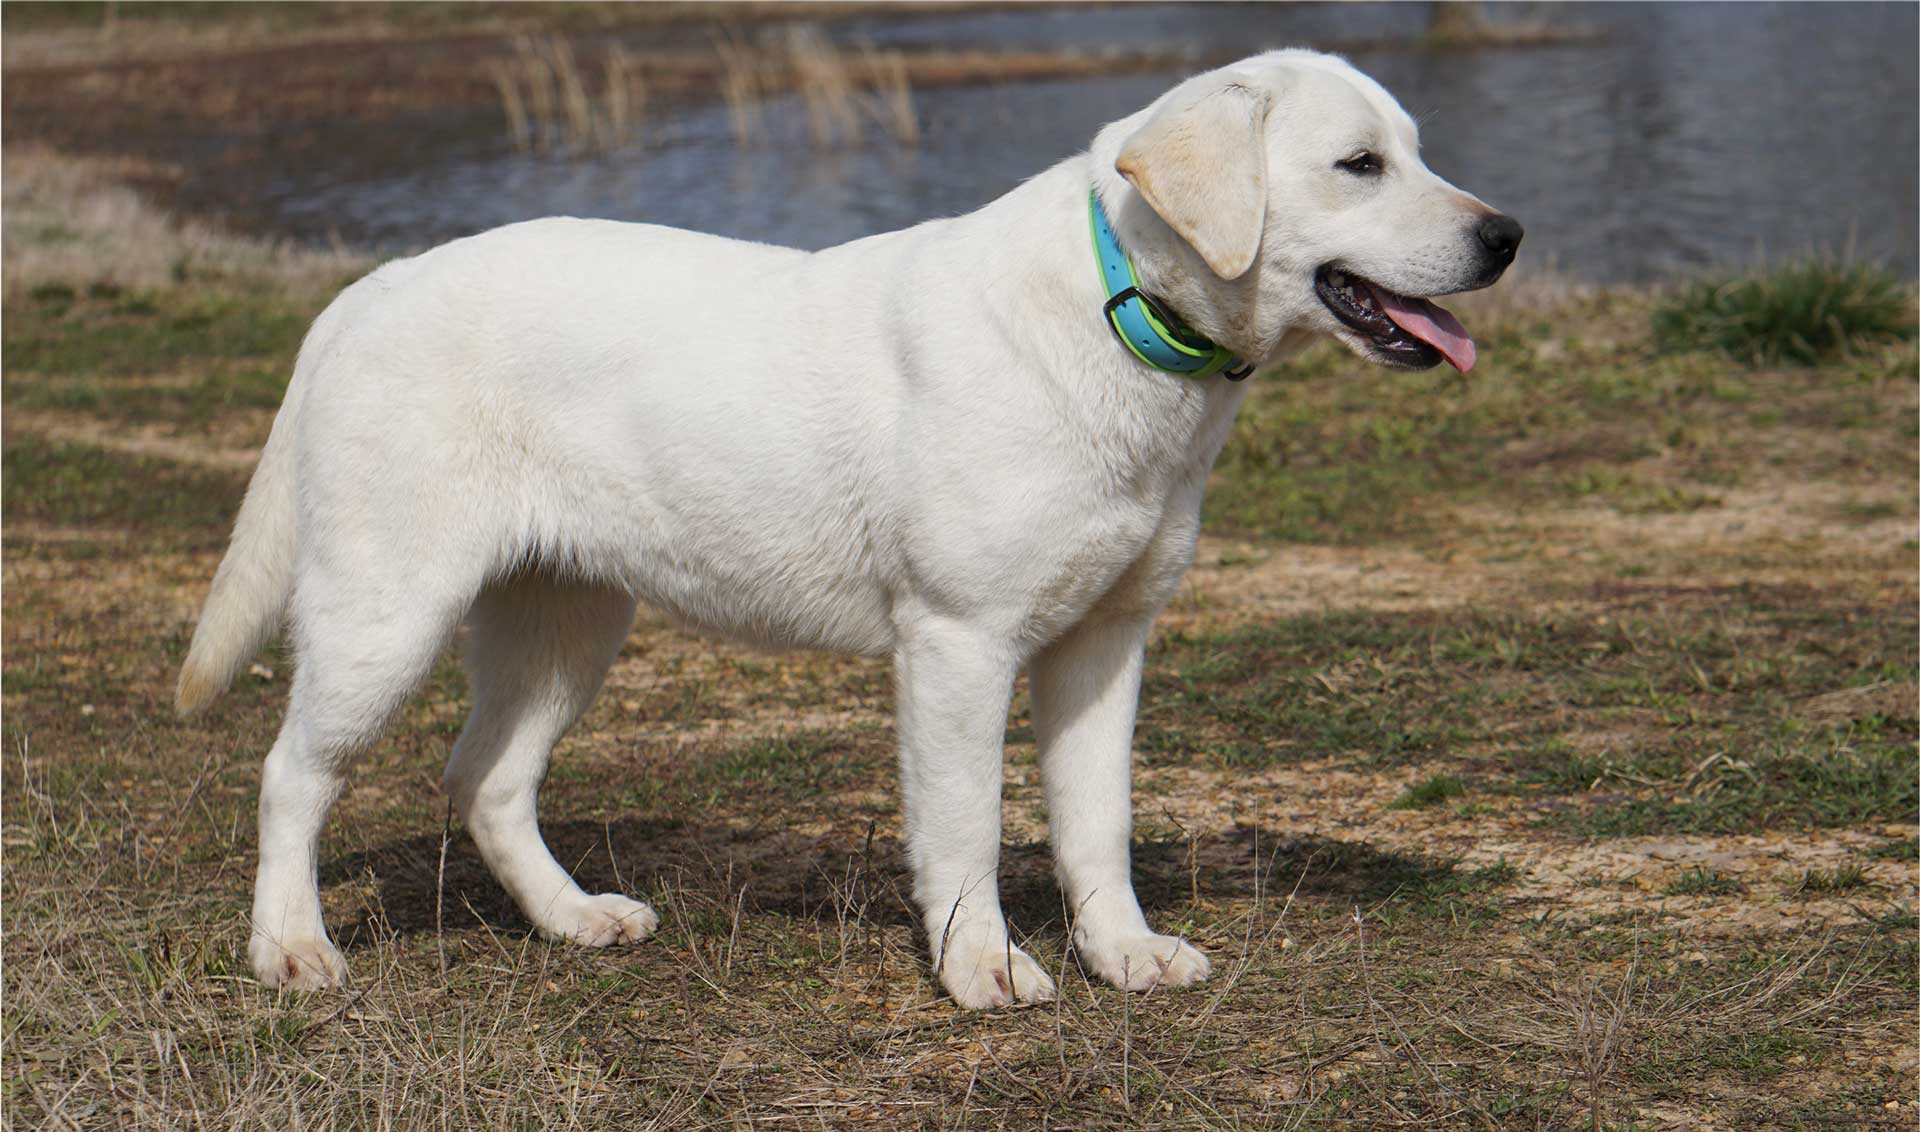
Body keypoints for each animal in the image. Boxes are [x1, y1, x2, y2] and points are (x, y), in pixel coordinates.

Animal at [187, 51, 1520, 1013]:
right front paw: (984, 972)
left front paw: (1125, 955)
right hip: (386, 610)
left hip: (569, 619)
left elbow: (1098, 822)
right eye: (1359, 163)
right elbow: (968, 827)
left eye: (1415, 151)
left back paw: (575, 920)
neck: (1121, 314)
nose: (1505, 236)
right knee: (291, 774)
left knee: (488, 779)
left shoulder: (1104, 644)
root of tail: (366, 289)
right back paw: (290, 950)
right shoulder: (959, 643)